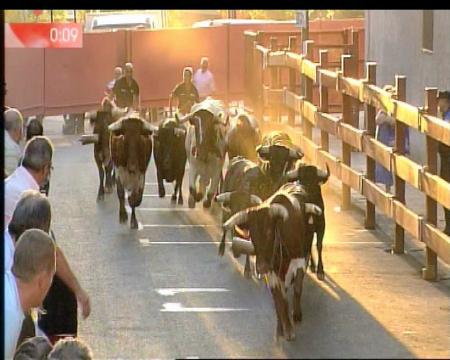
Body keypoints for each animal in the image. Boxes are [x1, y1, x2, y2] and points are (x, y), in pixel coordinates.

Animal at [223, 181, 322, 342]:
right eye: (253, 235)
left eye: (269, 232)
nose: (261, 267)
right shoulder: (272, 272)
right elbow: (279, 299)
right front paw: (283, 328)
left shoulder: (298, 262)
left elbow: (296, 289)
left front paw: (294, 318)